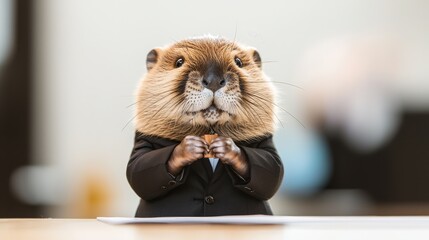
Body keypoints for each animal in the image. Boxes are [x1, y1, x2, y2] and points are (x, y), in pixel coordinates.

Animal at [125, 36, 282, 218]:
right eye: (179, 62)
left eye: (239, 61)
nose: (213, 81)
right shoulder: (142, 140)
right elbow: (138, 168)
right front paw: (190, 147)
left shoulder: (267, 142)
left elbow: (272, 168)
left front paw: (226, 147)